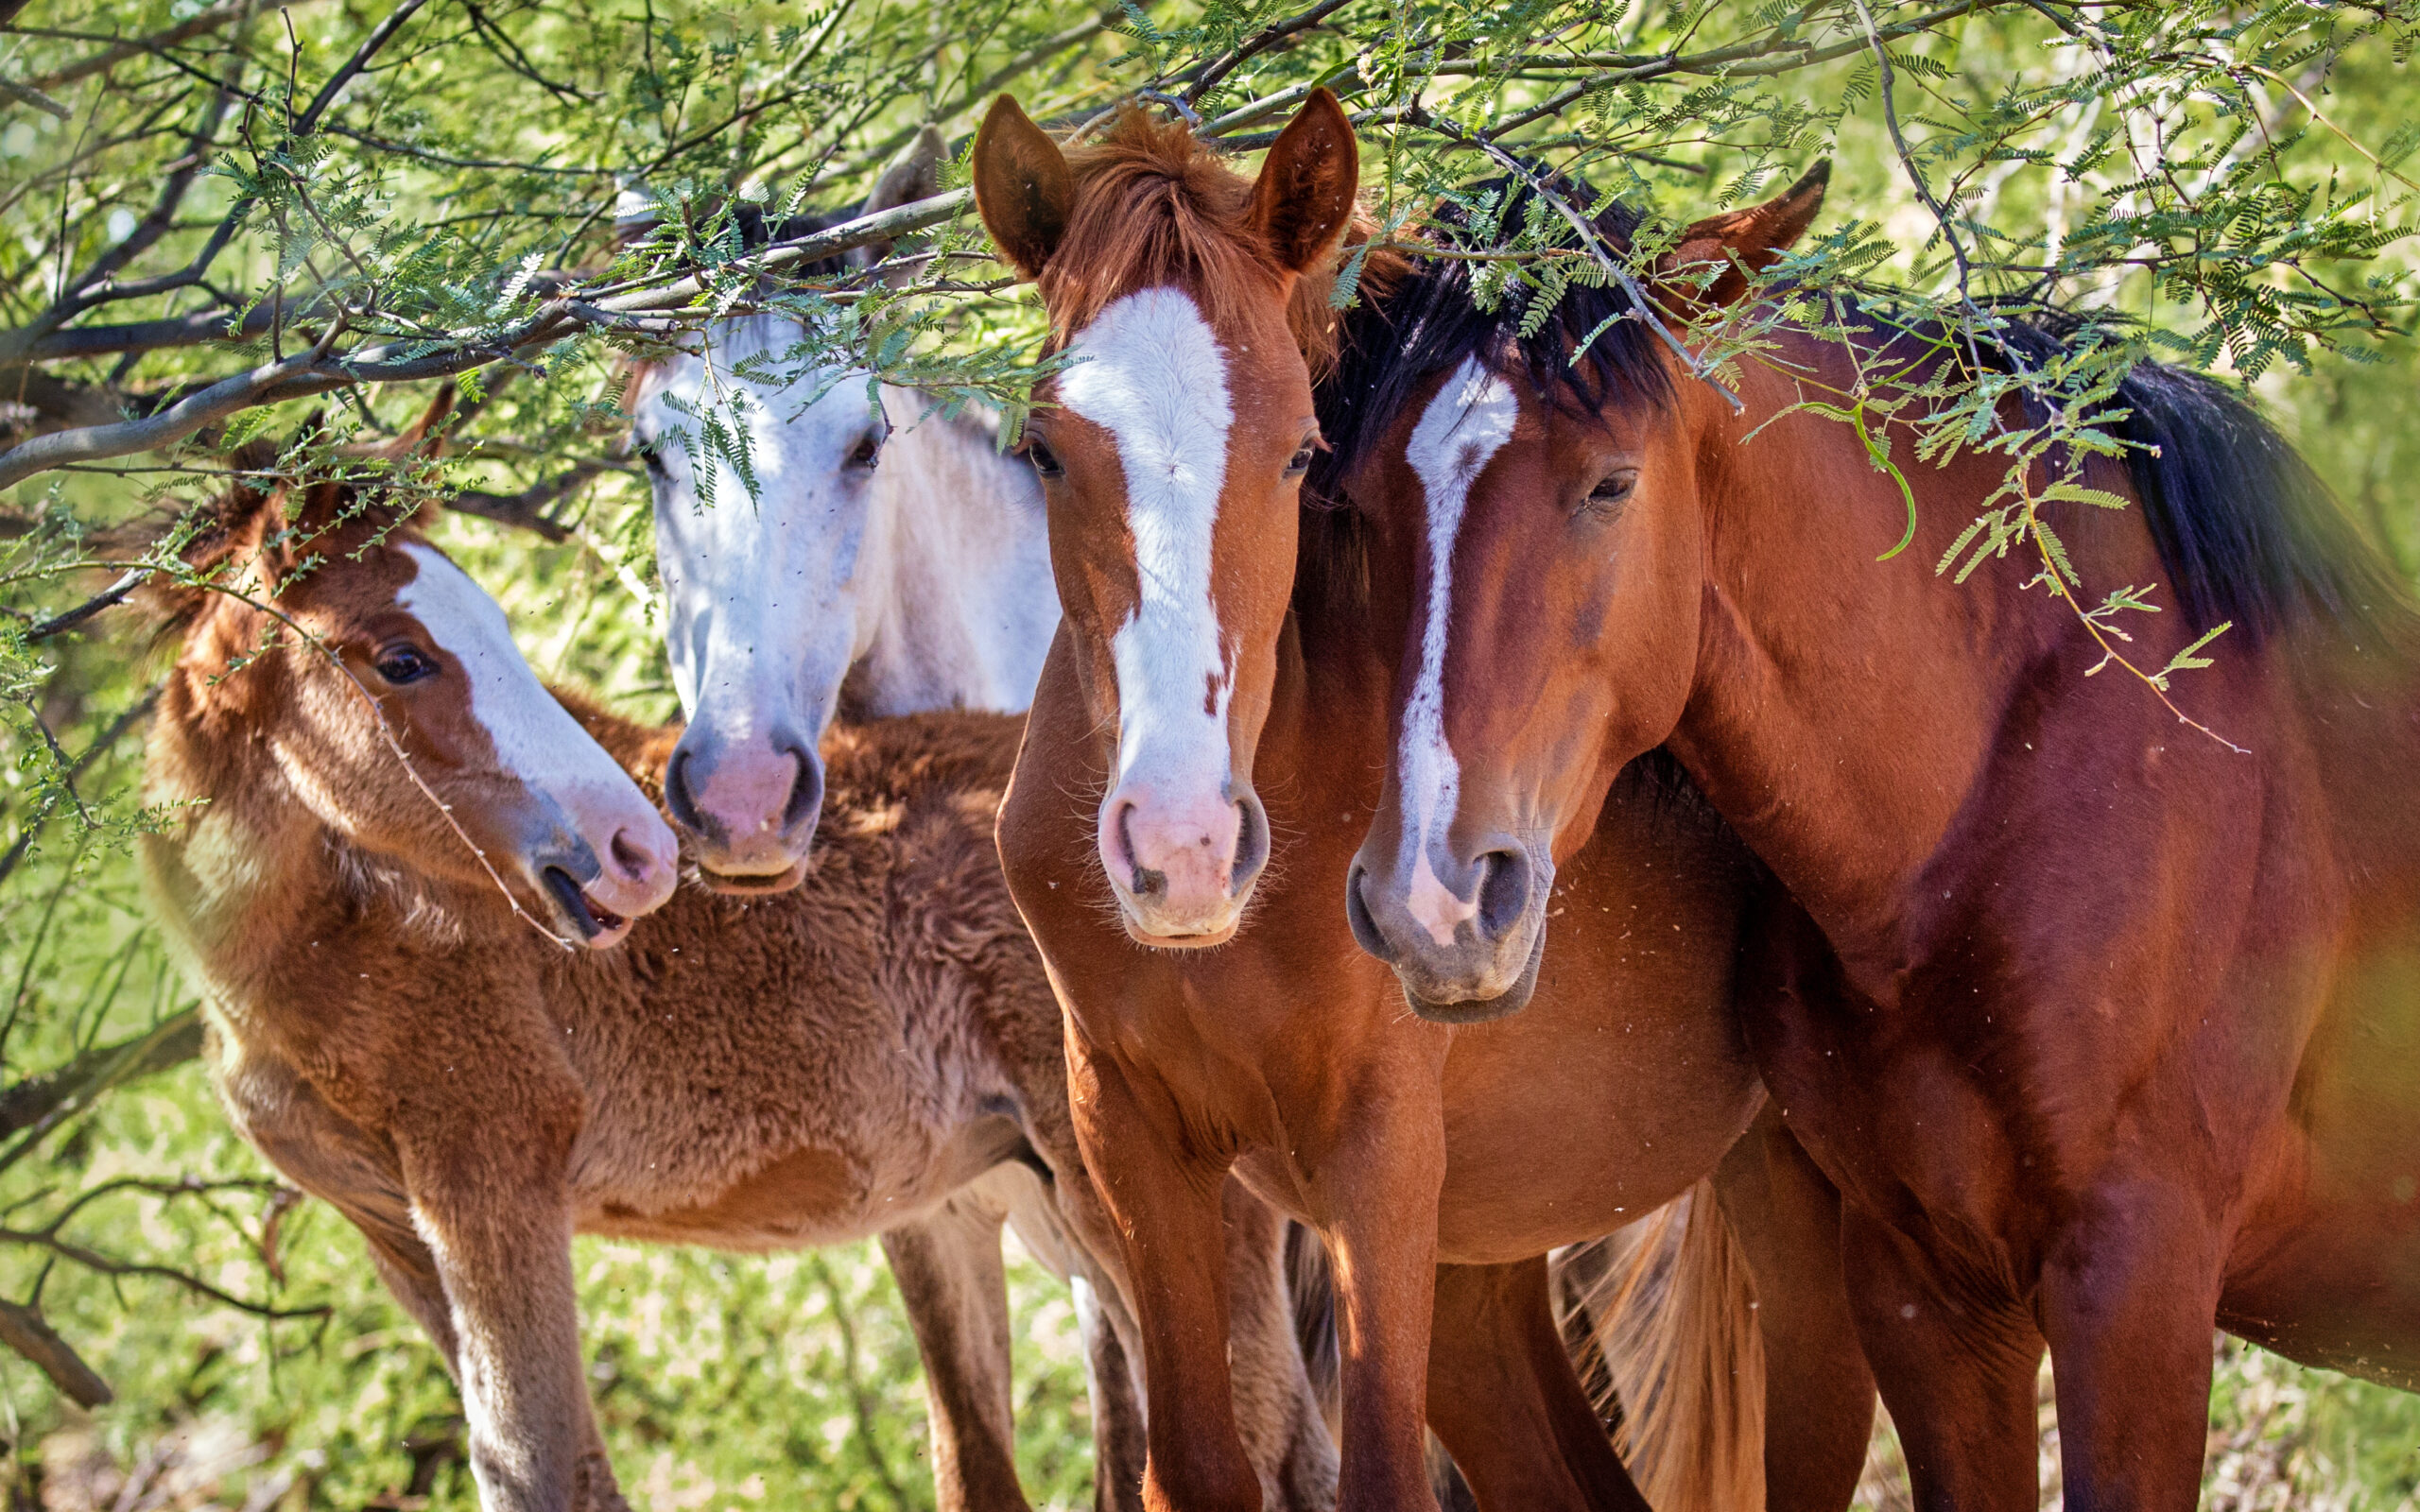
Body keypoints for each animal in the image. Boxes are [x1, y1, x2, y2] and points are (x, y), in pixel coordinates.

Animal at [973, 91, 1877, 1509]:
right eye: (1044, 451)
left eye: (1300, 454)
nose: (1184, 845)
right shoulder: (1131, 1138)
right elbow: (1195, 1470)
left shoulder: (1379, 1153)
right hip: (1484, 1285)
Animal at [1336, 167, 2420, 1509]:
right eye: (1358, 505)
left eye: (1610, 484)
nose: (1432, 902)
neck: (1991, 802)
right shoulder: (1925, 1292)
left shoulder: (2136, 1284)